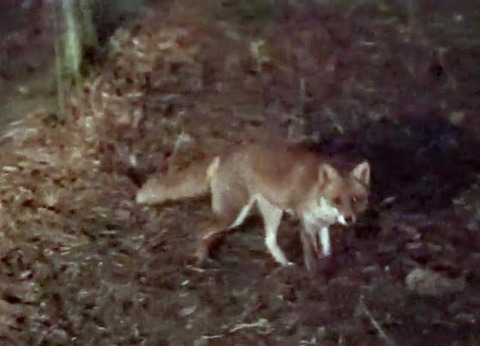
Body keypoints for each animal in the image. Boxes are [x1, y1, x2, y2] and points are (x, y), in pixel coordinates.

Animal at [136, 142, 372, 272]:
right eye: (337, 200)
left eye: (354, 199)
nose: (349, 219)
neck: (316, 192)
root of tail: (225, 154)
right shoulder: (306, 223)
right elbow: (310, 253)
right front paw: (314, 274)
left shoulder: (322, 224)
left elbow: (326, 247)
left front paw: (327, 261)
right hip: (233, 214)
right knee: (202, 229)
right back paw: (201, 259)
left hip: (271, 211)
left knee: (268, 240)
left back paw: (285, 266)